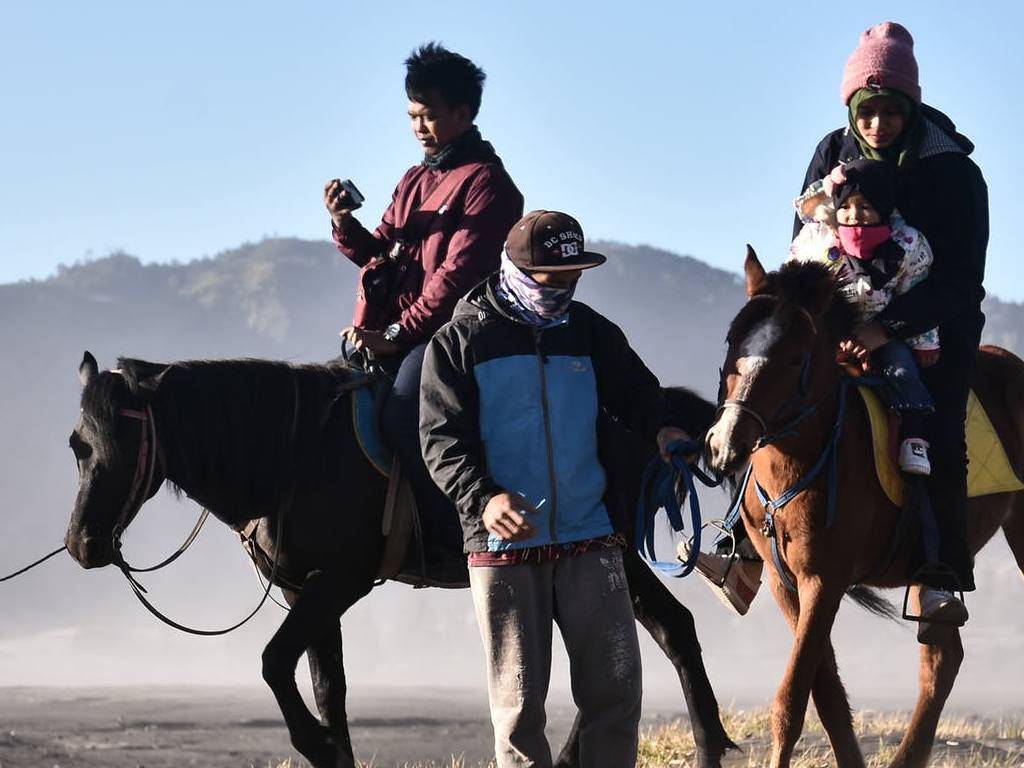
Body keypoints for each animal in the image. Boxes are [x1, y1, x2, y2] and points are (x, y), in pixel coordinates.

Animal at [64, 352, 737, 765]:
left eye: (125, 439)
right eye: (78, 444)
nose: (82, 544)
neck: (291, 452)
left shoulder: (341, 580)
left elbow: (274, 663)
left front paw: (317, 745)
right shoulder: (305, 590)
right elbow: (327, 687)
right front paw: (334, 749)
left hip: (609, 552)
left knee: (655, 638)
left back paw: (706, 745)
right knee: (655, 636)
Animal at [708, 249, 1024, 765]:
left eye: (793, 357)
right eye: (733, 341)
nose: (723, 444)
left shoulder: (824, 580)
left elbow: (791, 699)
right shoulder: (784, 581)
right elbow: (826, 695)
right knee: (942, 658)